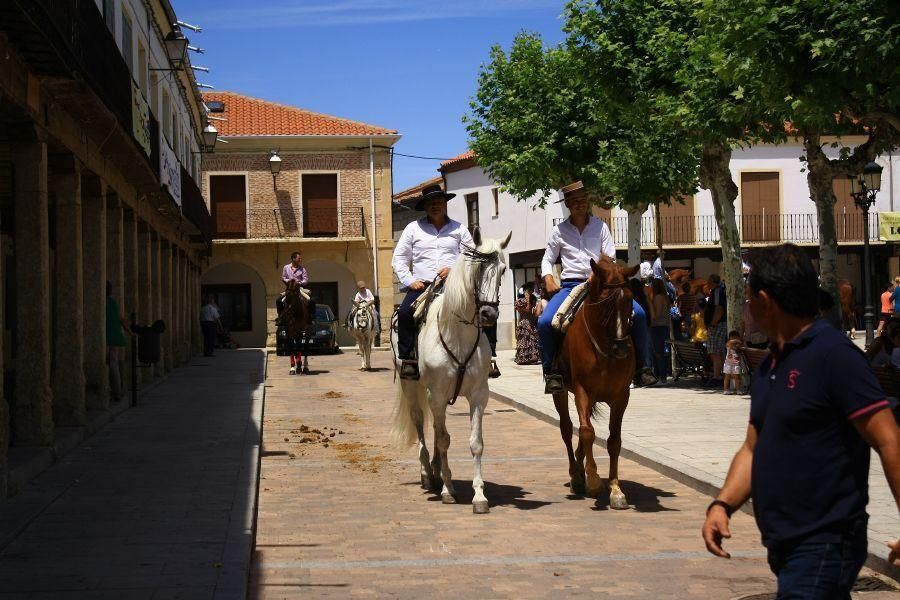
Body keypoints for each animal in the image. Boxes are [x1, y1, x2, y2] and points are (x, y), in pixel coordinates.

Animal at [390, 227, 510, 512]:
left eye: (502, 270)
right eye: (478, 268)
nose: (489, 314)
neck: (458, 334)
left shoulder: (478, 395)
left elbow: (475, 443)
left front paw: (479, 495)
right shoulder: (436, 393)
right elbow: (444, 439)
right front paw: (447, 490)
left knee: (435, 428)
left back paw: (436, 471)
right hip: (413, 388)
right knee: (421, 423)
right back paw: (427, 474)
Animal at [548, 255, 640, 508]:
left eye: (629, 301)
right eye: (604, 304)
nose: (621, 348)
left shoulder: (621, 397)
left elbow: (614, 440)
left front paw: (616, 490)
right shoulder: (582, 391)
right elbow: (587, 432)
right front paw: (593, 480)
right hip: (560, 392)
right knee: (568, 429)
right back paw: (577, 475)